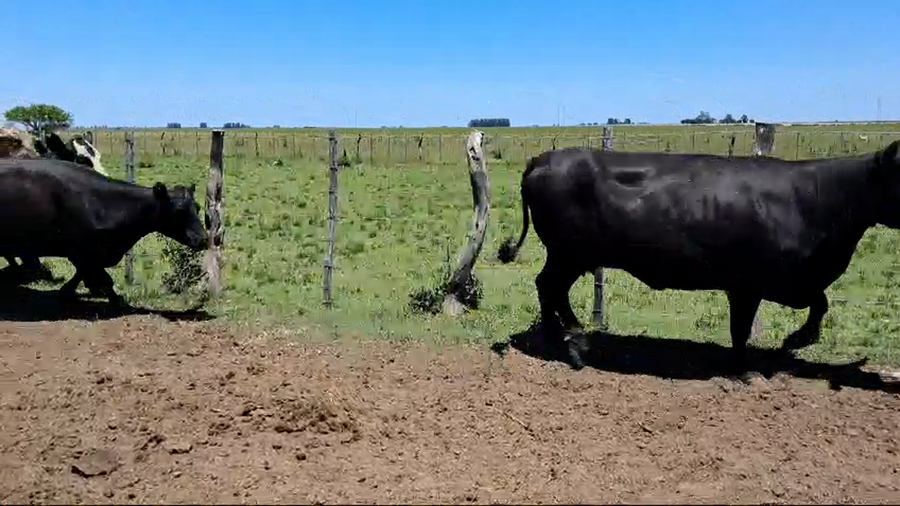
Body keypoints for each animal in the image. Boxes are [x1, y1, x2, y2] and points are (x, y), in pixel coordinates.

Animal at [0, 157, 208, 306]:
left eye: (197, 207)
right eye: (179, 210)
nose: (204, 239)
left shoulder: (91, 251)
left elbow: (86, 272)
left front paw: (70, 292)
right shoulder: (81, 248)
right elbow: (101, 276)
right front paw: (115, 300)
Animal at [497, 140, 900, 373]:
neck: (814, 198)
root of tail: (543, 158)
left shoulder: (791, 282)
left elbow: (820, 303)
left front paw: (793, 341)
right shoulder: (749, 282)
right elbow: (742, 327)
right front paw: (748, 366)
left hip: (571, 256)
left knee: (550, 289)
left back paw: (563, 338)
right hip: (568, 254)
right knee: (549, 287)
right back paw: (572, 344)